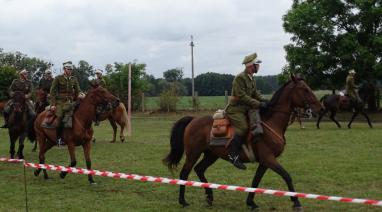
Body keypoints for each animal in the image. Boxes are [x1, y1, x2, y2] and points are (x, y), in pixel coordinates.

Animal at [163, 75, 322, 210]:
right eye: (305, 89)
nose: (320, 108)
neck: (271, 122)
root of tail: (193, 120)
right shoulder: (269, 159)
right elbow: (287, 176)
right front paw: (296, 202)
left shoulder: (264, 161)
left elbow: (255, 181)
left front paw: (251, 202)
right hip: (193, 153)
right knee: (184, 173)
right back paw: (183, 201)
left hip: (211, 155)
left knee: (199, 169)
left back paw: (209, 196)